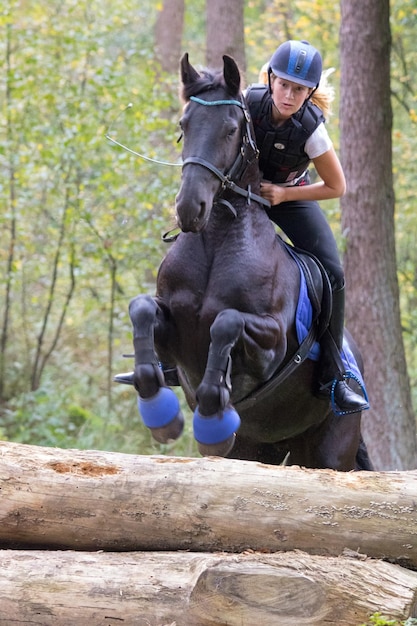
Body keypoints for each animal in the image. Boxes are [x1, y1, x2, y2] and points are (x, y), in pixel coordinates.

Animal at [119, 54, 370, 468]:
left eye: (231, 129)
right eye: (184, 125)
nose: (189, 209)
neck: (218, 242)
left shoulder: (270, 348)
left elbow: (226, 321)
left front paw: (211, 415)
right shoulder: (172, 334)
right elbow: (140, 308)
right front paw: (161, 414)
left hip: (332, 450)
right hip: (257, 447)